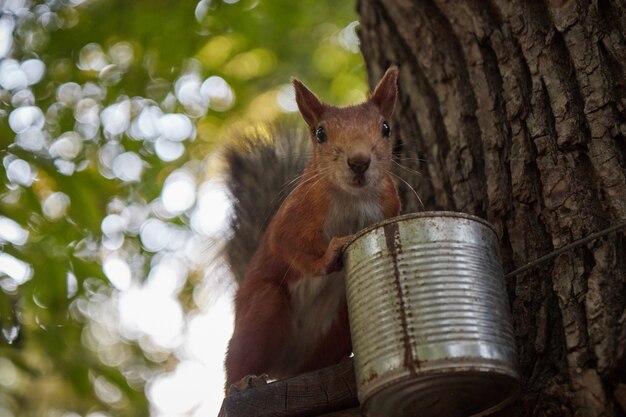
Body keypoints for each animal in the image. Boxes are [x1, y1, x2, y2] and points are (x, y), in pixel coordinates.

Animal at [224, 66, 400, 392]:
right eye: (320, 133)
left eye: (385, 128)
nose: (359, 162)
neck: (352, 198)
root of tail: (285, 368)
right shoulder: (292, 217)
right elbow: (290, 246)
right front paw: (330, 254)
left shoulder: (389, 205)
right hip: (262, 308)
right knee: (238, 362)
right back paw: (243, 381)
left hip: (339, 320)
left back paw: (342, 362)